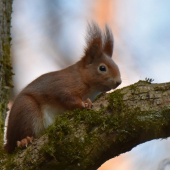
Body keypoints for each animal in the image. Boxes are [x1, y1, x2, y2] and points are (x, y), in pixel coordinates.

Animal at [3, 22, 121, 153]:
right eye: (102, 68)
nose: (118, 82)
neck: (83, 78)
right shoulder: (62, 86)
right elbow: (66, 98)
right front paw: (84, 103)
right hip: (27, 110)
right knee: (19, 138)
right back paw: (24, 140)